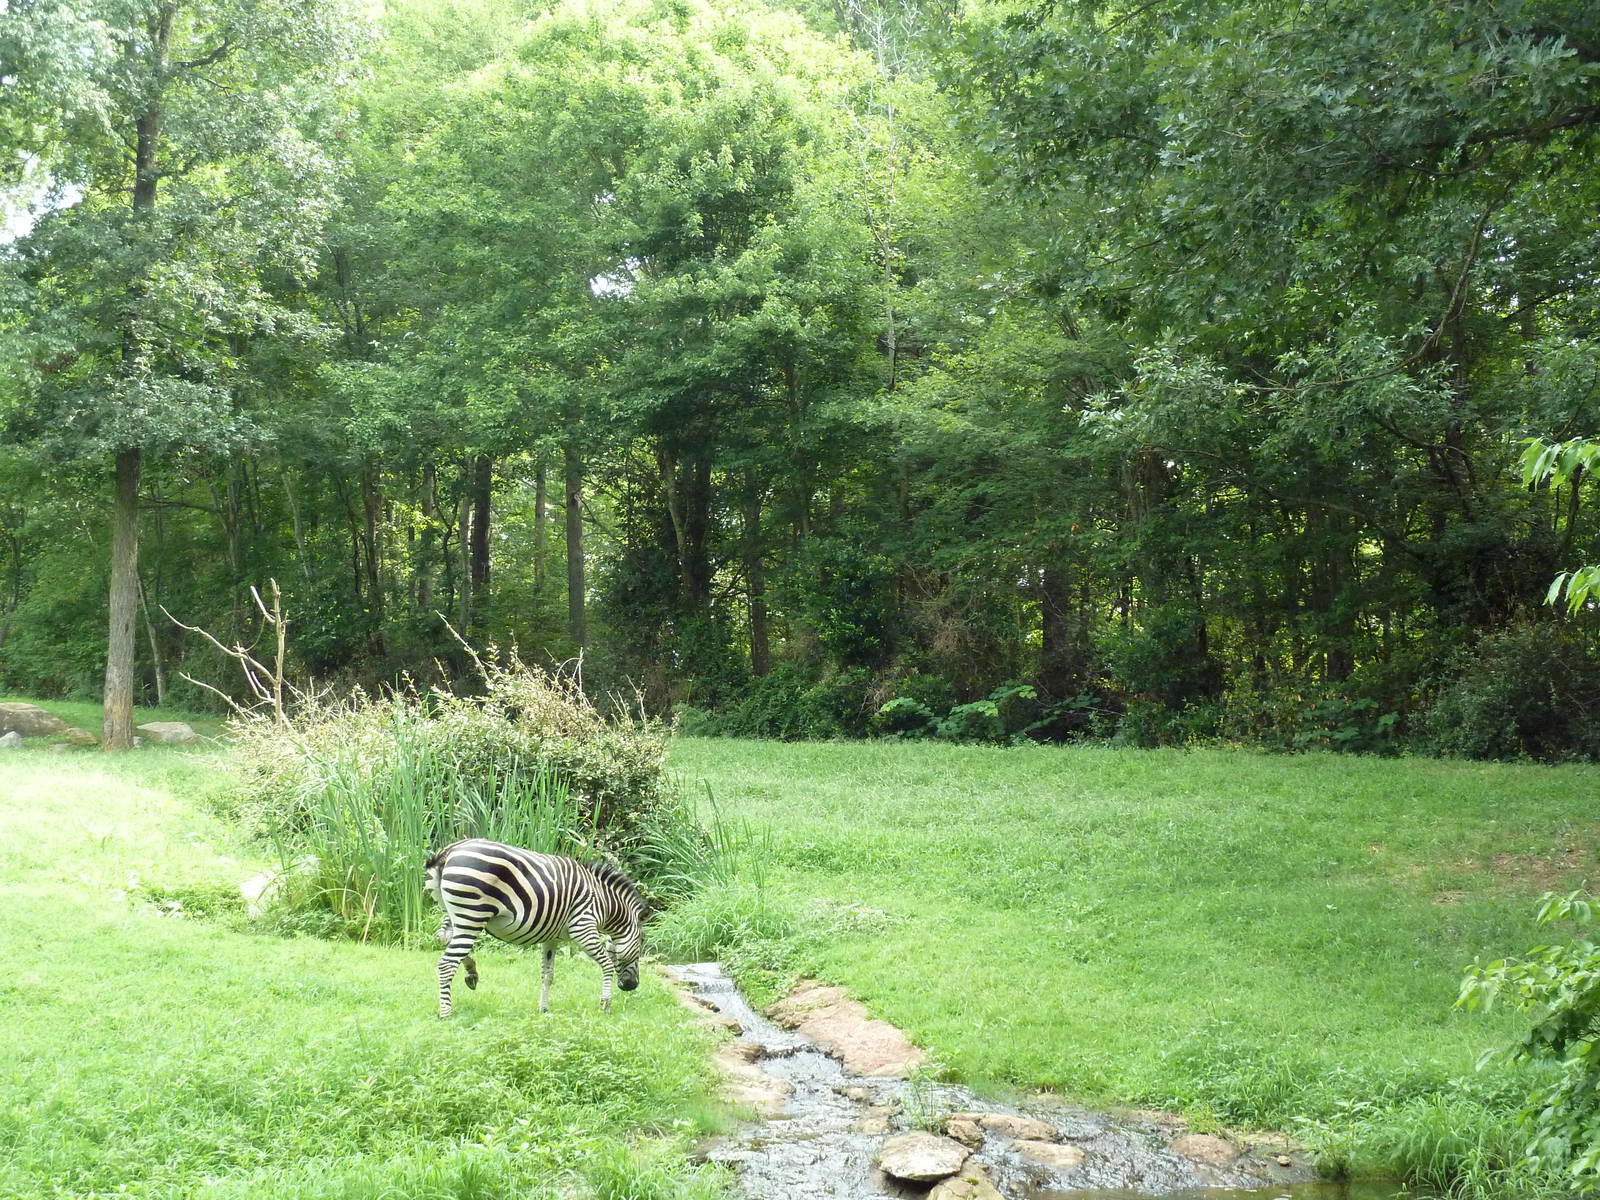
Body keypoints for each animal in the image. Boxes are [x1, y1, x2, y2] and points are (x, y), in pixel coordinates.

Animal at [424, 838, 645, 1018]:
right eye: (641, 944)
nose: (632, 986)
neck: (604, 902)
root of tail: (449, 851)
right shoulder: (583, 927)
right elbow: (607, 964)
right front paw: (606, 1005)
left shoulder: (551, 937)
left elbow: (547, 975)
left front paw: (544, 1010)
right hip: (472, 915)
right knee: (446, 964)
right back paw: (446, 1013)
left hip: (455, 914)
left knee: (444, 938)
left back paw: (471, 972)